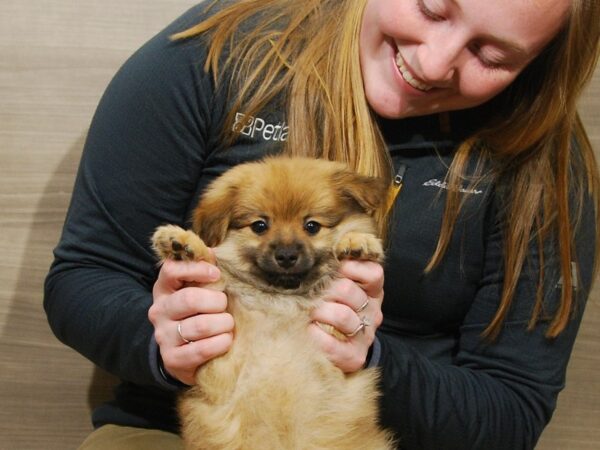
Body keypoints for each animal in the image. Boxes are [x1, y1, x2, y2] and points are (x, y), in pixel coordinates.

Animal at [151, 157, 394, 450]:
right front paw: (183, 244)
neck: (281, 301)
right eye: (260, 226)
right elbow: (211, 276)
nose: (286, 256)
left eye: (311, 226)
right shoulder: (225, 363)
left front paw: (358, 242)